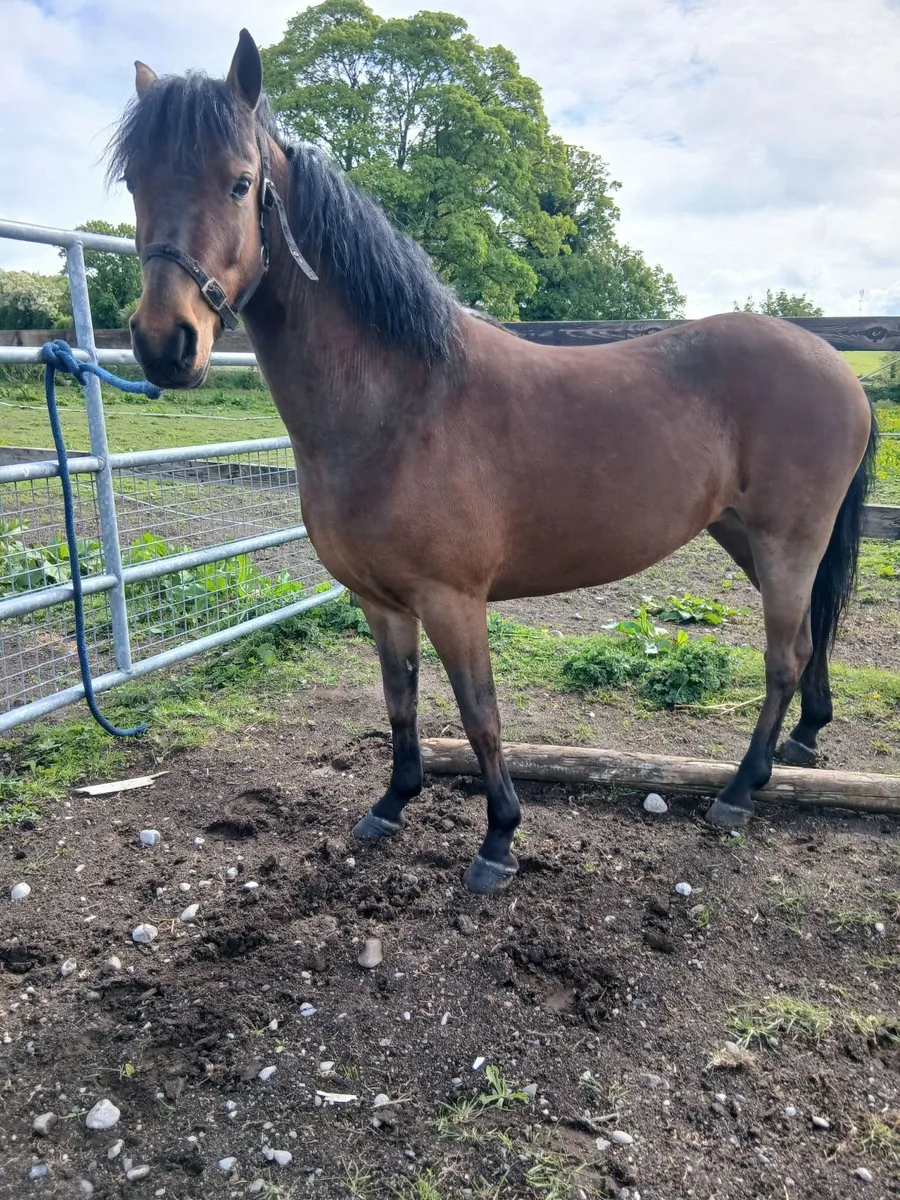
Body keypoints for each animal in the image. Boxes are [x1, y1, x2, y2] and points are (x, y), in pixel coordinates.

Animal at [114, 30, 877, 894]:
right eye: (136, 182)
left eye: (241, 183)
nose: (164, 343)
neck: (398, 402)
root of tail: (838, 367)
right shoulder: (381, 602)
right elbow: (401, 702)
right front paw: (393, 802)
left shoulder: (453, 600)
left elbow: (479, 714)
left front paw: (499, 839)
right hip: (745, 535)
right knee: (809, 639)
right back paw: (800, 744)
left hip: (786, 543)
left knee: (785, 656)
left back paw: (740, 791)